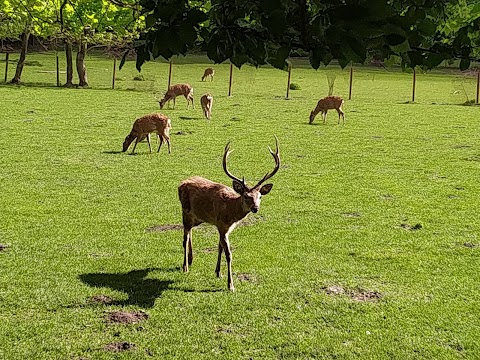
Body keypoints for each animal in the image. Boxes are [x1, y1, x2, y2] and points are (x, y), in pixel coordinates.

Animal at [178, 136, 280, 292]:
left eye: (260, 196)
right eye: (246, 196)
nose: (255, 208)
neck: (231, 212)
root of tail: (180, 184)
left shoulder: (224, 227)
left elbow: (219, 247)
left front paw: (218, 272)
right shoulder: (221, 225)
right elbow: (228, 253)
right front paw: (230, 285)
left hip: (197, 218)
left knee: (190, 232)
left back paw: (191, 259)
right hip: (185, 211)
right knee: (185, 237)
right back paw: (185, 267)